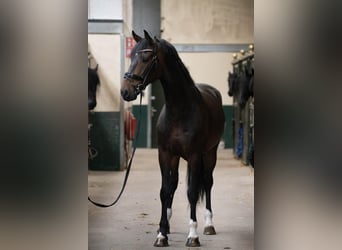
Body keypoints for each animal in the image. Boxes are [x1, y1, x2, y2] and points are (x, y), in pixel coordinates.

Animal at [121, 30, 226, 247]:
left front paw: (193, 236)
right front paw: (162, 234)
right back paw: (168, 223)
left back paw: (208, 225)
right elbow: (165, 190)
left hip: (210, 154)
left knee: (207, 182)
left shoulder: (194, 156)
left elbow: (192, 193)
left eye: (145, 57)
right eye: (131, 55)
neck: (179, 110)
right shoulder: (165, 154)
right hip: (177, 158)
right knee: (174, 183)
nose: (125, 91)